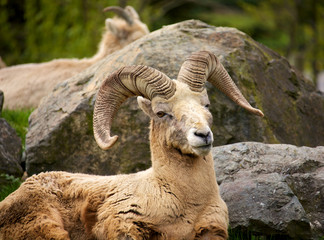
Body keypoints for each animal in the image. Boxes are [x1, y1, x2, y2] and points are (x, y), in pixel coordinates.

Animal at [0, 51, 264, 240]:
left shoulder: (212, 231)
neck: (185, 201)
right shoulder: (122, 226)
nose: (203, 135)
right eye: (161, 113)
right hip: (44, 227)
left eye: (206, 105)